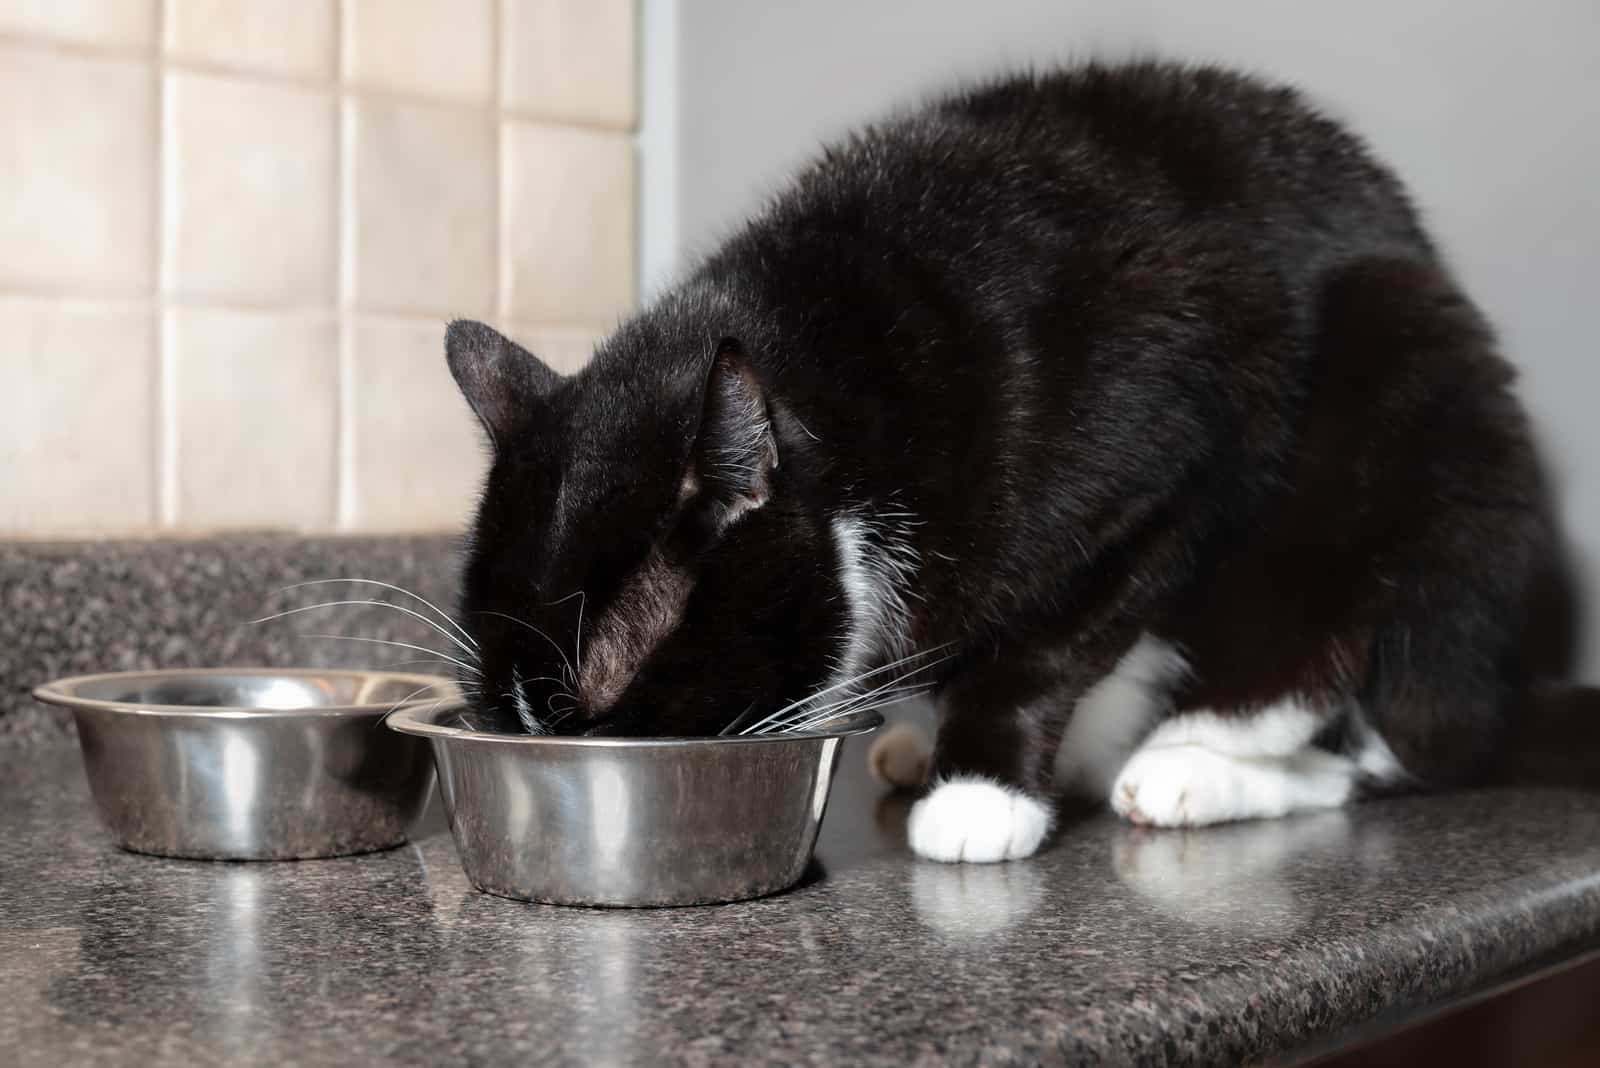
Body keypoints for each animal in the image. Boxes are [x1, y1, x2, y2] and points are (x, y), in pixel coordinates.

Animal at [438, 58, 1587, 863]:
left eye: (612, 678)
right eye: (496, 696)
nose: (552, 747)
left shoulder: (1180, 440)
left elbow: (1047, 646)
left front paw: (983, 790)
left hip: (1409, 394)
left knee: (1374, 733)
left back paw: (1185, 769)